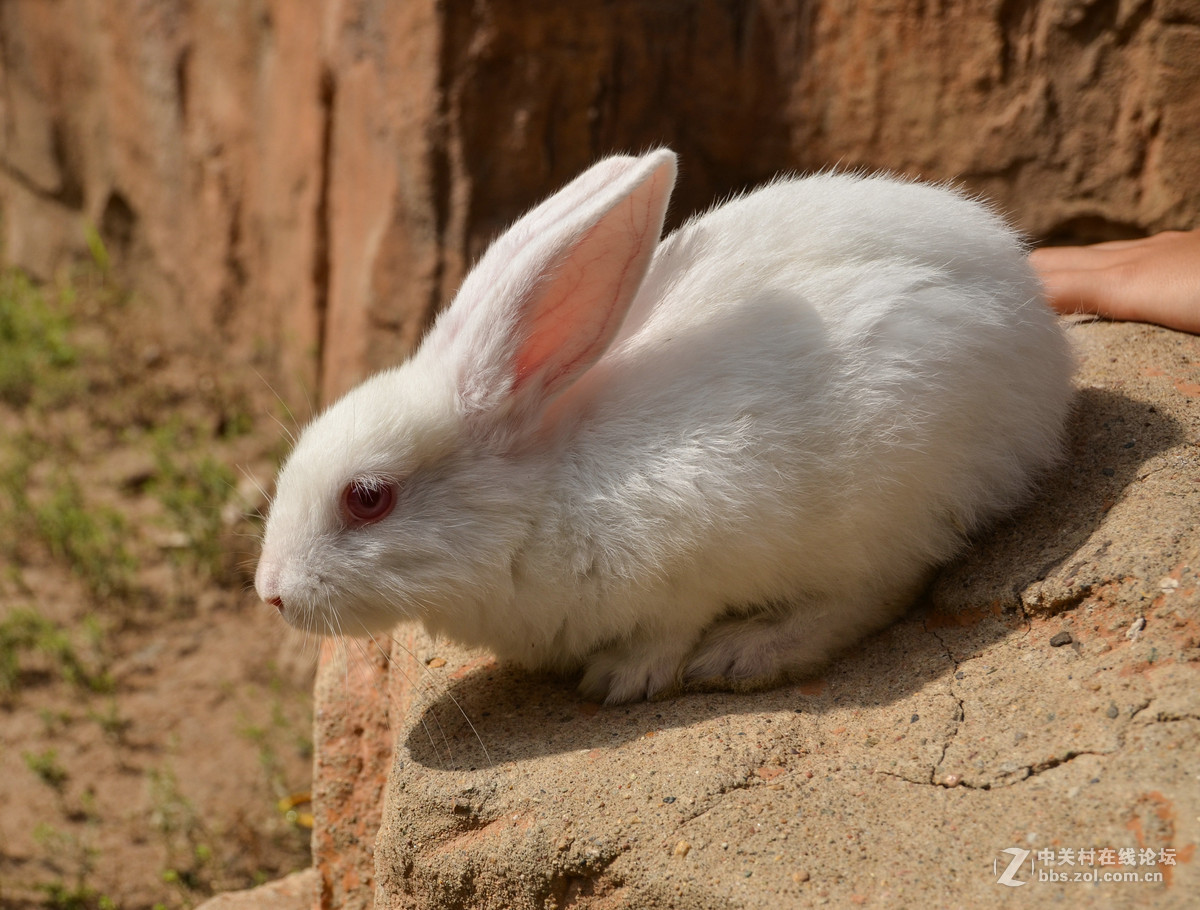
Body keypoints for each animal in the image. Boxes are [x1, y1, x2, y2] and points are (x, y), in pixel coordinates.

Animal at [253, 149, 1070, 705]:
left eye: (367, 497)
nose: (270, 593)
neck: (540, 498)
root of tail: (1035, 326)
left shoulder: (693, 557)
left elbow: (672, 625)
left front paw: (624, 677)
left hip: (886, 492)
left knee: (878, 590)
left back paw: (745, 653)